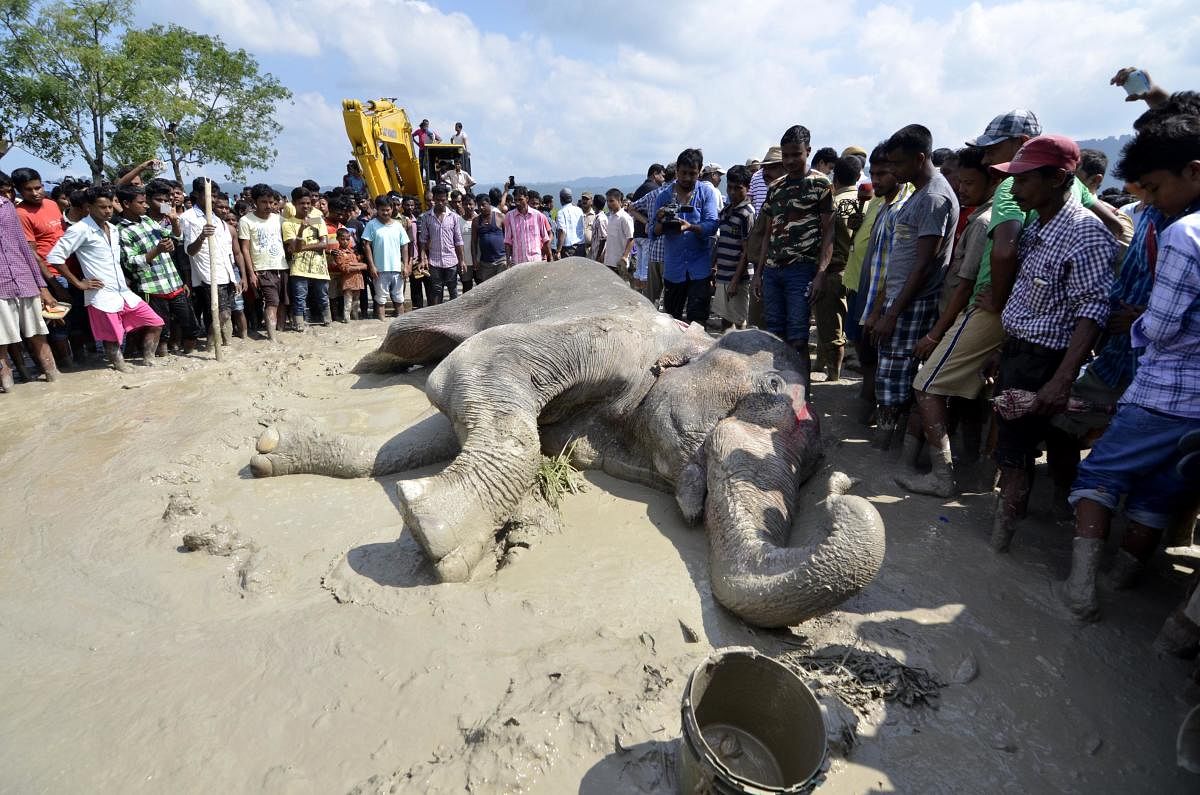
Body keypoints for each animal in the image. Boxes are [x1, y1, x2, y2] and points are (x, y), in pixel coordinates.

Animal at [248, 260, 888, 629]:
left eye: (815, 465)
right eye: (770, 392)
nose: (844, 493)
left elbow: (440, 428)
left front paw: (273, 449)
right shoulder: (609, 342)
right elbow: (470, 369)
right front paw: (435, 533)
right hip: (488, 286)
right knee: (408, 334)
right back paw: (369, 365)